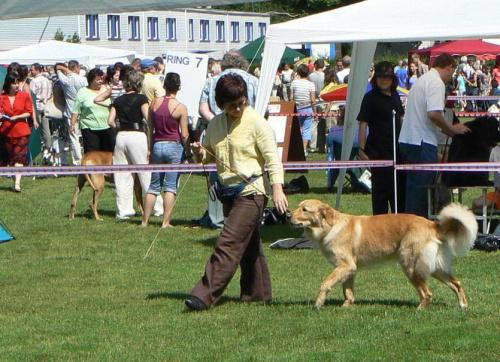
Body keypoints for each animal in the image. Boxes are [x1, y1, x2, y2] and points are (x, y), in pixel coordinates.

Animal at [288, 199, 478, 310]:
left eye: (304, 209)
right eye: (297, 207)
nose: (287, 215)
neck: (331, 226)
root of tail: (432, 224)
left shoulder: (345, 265)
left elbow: (325, 284)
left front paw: (319, 303)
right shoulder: (350, 269)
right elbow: (347, 291)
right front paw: (346, 306)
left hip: (411, 266)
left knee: (427, 292)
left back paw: (419, 310)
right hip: (435, 267)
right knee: (457, 284)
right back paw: (463, 306)